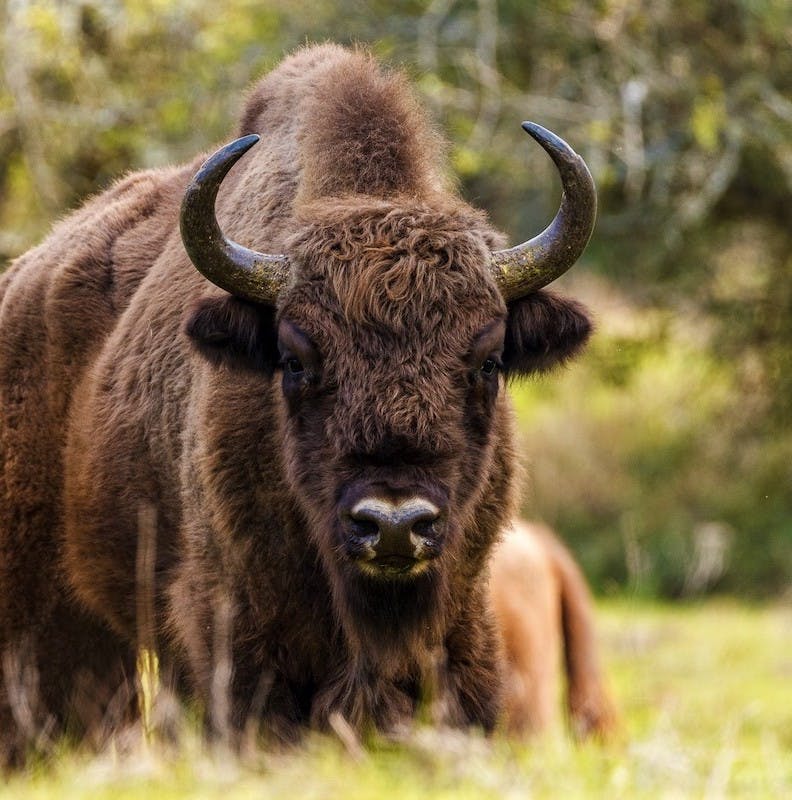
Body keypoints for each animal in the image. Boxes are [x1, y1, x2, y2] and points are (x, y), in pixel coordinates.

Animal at [0, 43, 596, 756]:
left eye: (488, 360)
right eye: (294, 359)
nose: (393, 525)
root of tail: (19, 283)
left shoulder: (463, 621)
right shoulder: (235, 633)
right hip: (46, 612)